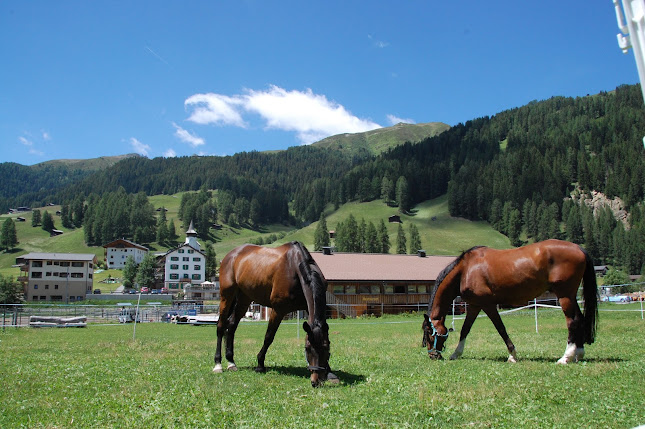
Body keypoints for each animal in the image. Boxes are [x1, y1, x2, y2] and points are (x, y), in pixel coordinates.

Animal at [215, 242, 340, 386]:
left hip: (244, 298)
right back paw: (218, 364)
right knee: (221, 326)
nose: (316, 380)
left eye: (327, 348)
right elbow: (269, 337)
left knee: (231, 325)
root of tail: (231, 255)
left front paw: (330, 373)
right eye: (307, 348)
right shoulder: (278, 310)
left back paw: (231, 362)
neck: (295, 269)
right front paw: (260, 364)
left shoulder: (308, 309)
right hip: (226, 296)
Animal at [422, 239, 600, 362]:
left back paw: (566, 357)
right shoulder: (474, 305)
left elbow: (501, 328)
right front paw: (456, 354)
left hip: (564, 296)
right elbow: (465, 329)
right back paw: (578, 354)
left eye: (428, 332)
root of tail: (579, 248)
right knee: (580, 319)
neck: (465, 269)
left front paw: (512, 355)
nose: (433, 355)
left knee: (572, 322)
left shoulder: (488, 305)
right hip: (570, 296)